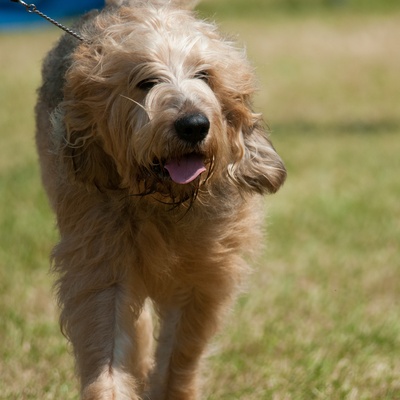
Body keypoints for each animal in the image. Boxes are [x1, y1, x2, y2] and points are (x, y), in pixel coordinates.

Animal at [33, 1, 284, 398]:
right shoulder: (101, 263)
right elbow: (107, 345)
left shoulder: (204, 276)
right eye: (146, 82)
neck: (163, 200)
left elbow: (180, 351)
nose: (193, 125)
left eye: (204, 75)